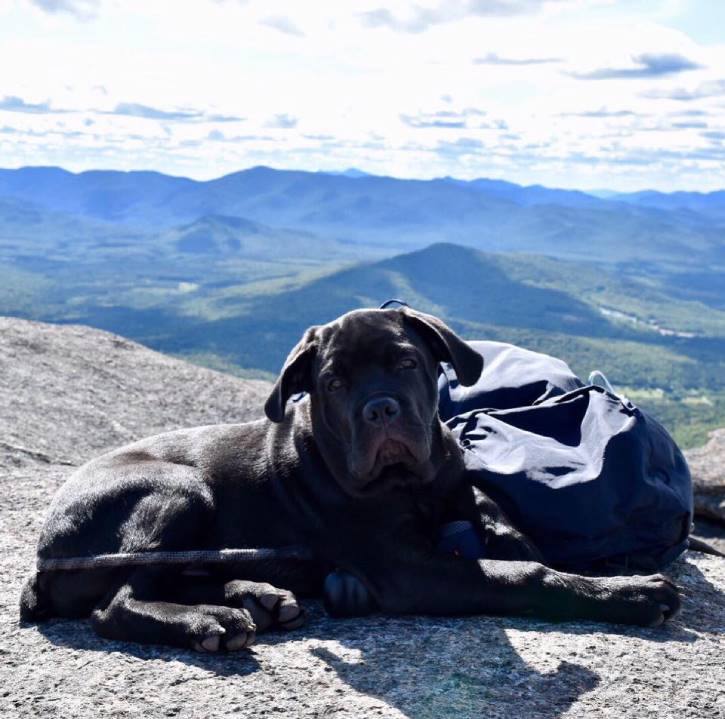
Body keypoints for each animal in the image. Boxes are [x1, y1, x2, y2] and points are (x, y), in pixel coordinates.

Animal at [19, 310, 680, 652]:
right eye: (334, 383)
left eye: (407, 362)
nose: (380, 409)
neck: (409, 484)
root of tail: (43, 557)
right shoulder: (409, 569)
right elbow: (525, 574)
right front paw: (629, 593)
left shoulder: (457, 495)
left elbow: (507, 528)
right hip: (178, 490)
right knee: (116, 602)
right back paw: (211, 621)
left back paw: (256, 596)